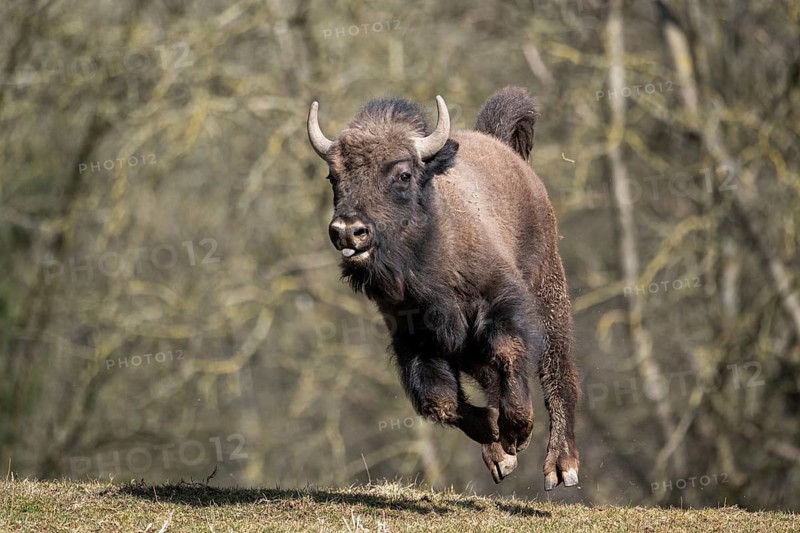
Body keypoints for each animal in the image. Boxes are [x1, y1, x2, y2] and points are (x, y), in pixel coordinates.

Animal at [307, 87, 580, 490]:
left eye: (403, 174)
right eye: (332, 176)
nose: (347, 231)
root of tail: (504, 149)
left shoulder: (501, 305)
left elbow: (509, 355)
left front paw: (516, 432)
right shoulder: (414, 337)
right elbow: (439, 400)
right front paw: (496, 433)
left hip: (549, 291)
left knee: (557, 368)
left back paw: (561, 467)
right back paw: (500, 457)